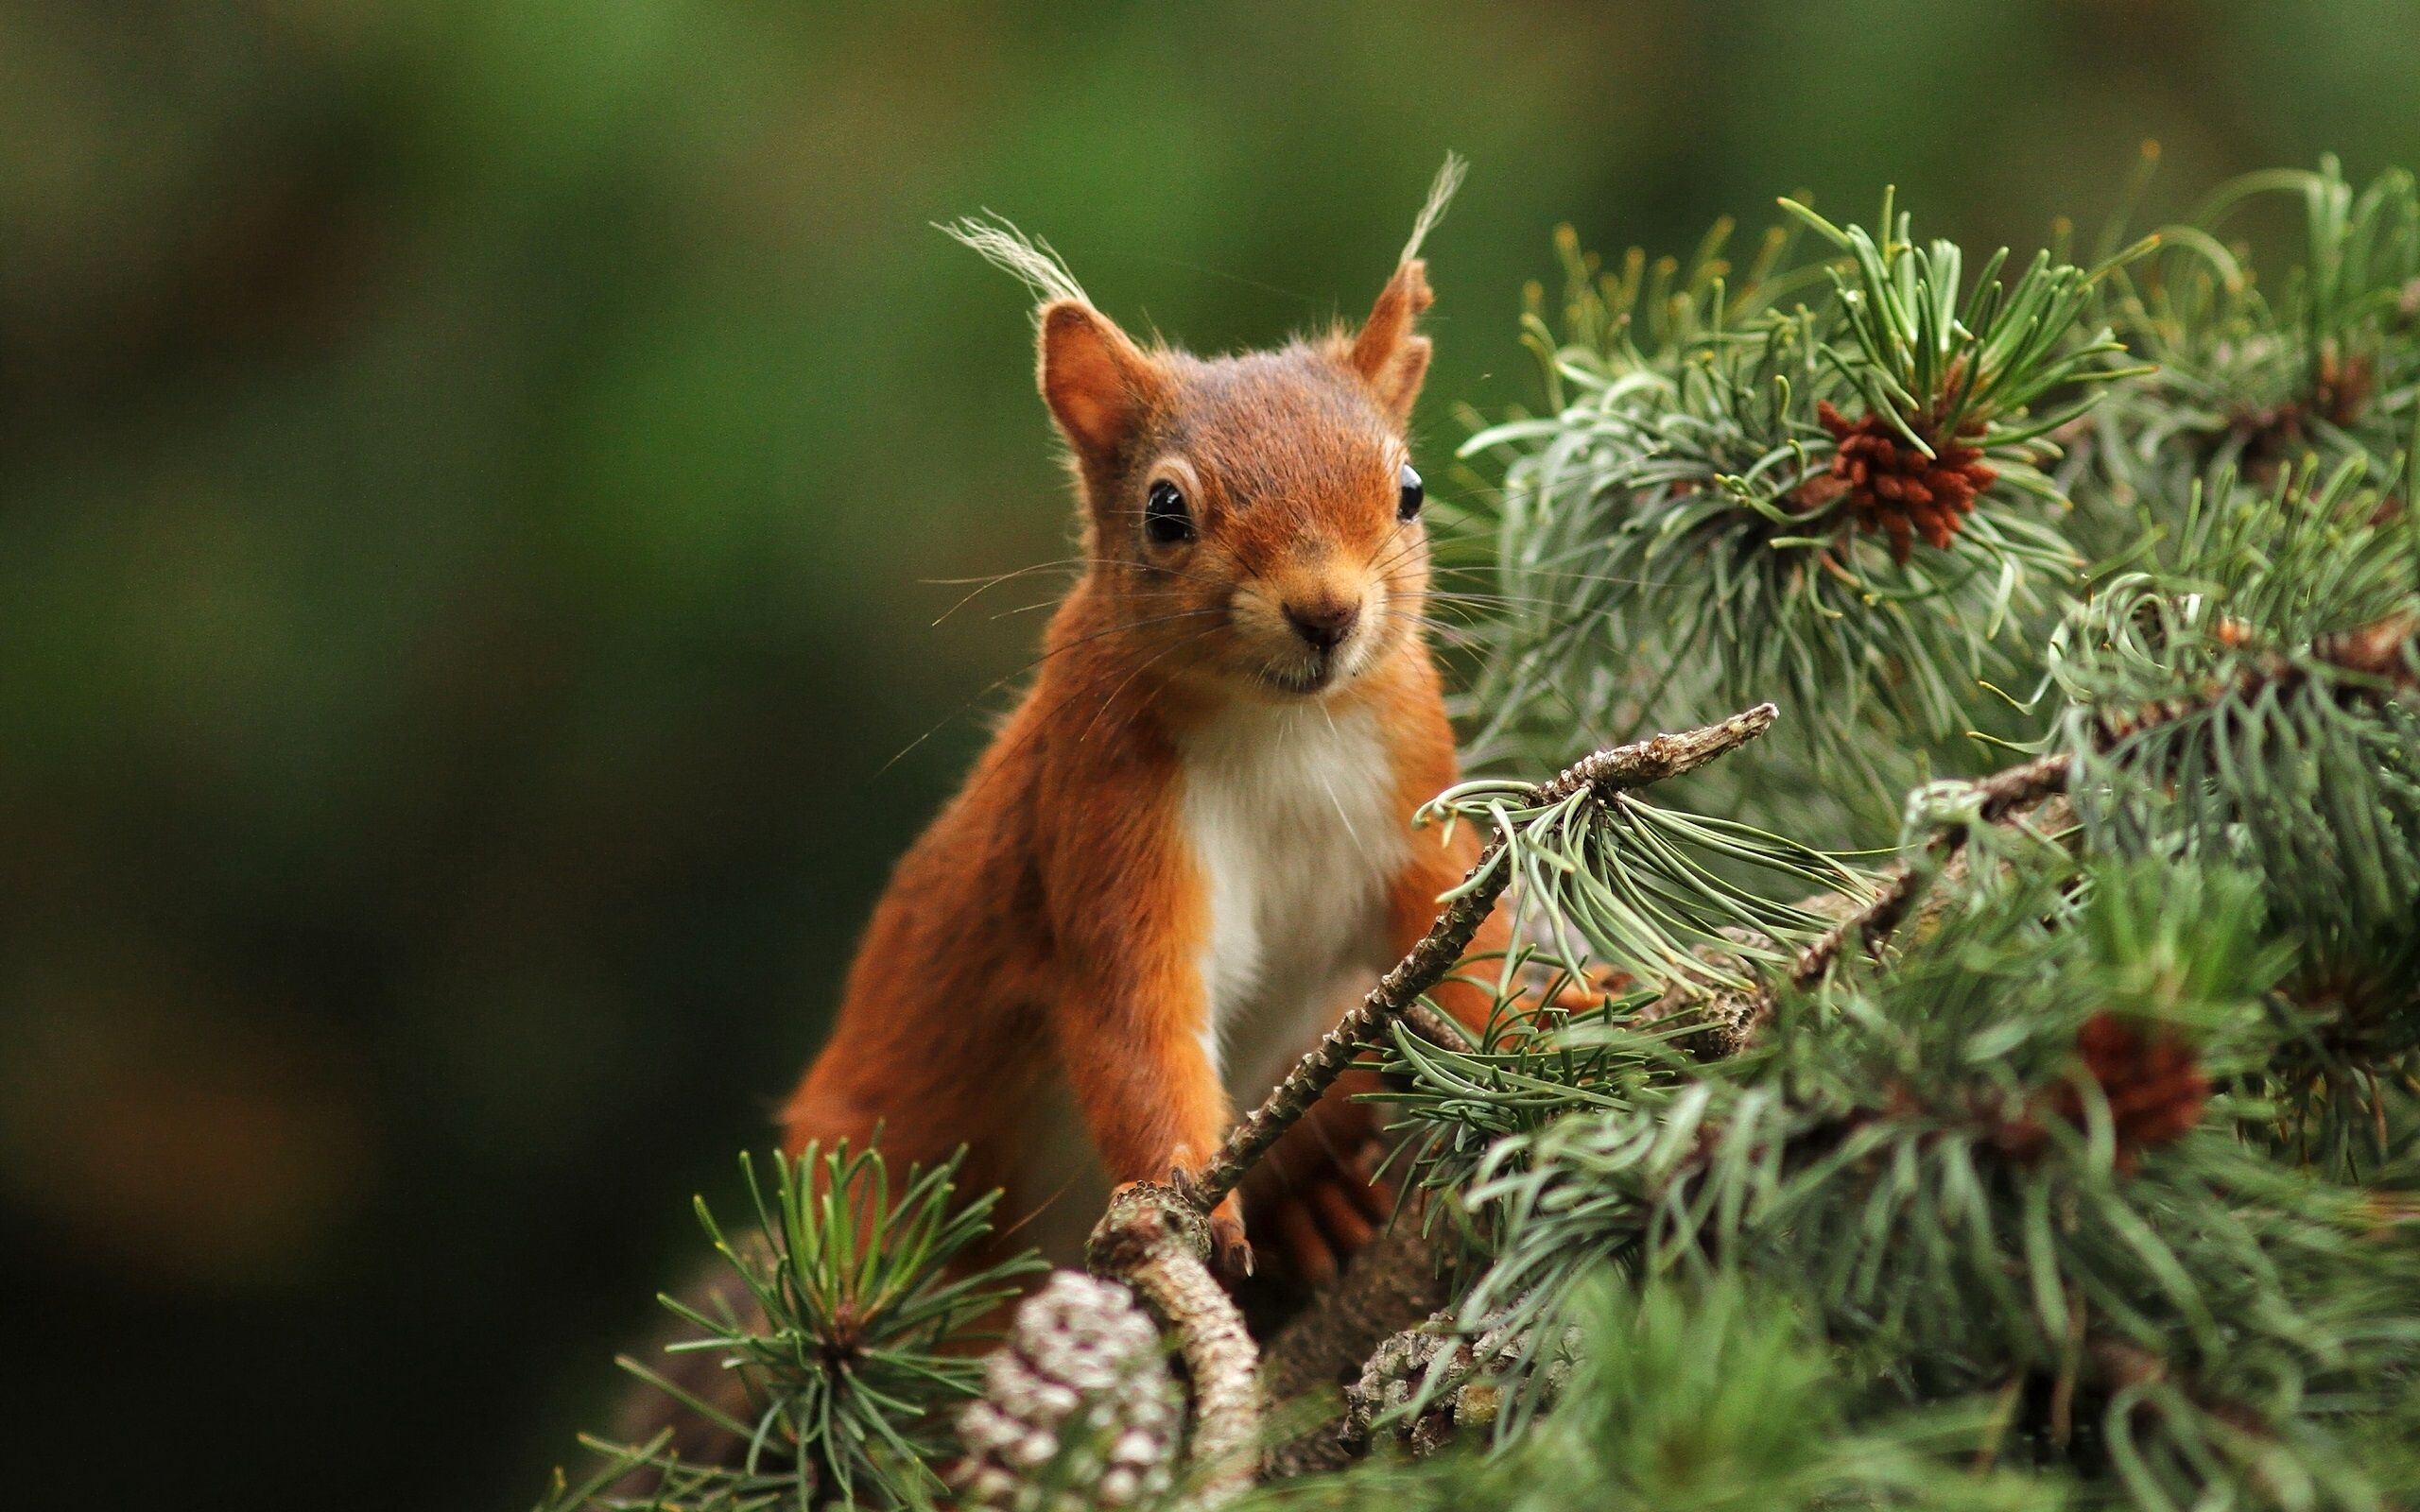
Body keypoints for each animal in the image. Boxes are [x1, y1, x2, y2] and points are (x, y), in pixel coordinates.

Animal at [781, 162, 1511, 1287]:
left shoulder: (1411, 791)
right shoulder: (1105, 823)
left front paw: (1561, 1017)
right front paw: (1187, 1203)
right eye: (1166, 511)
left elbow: (1463, 936)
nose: (1327, 612)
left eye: (1410, 491)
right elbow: (1137, 1024)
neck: (1280, 729)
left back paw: (1323, 1199)